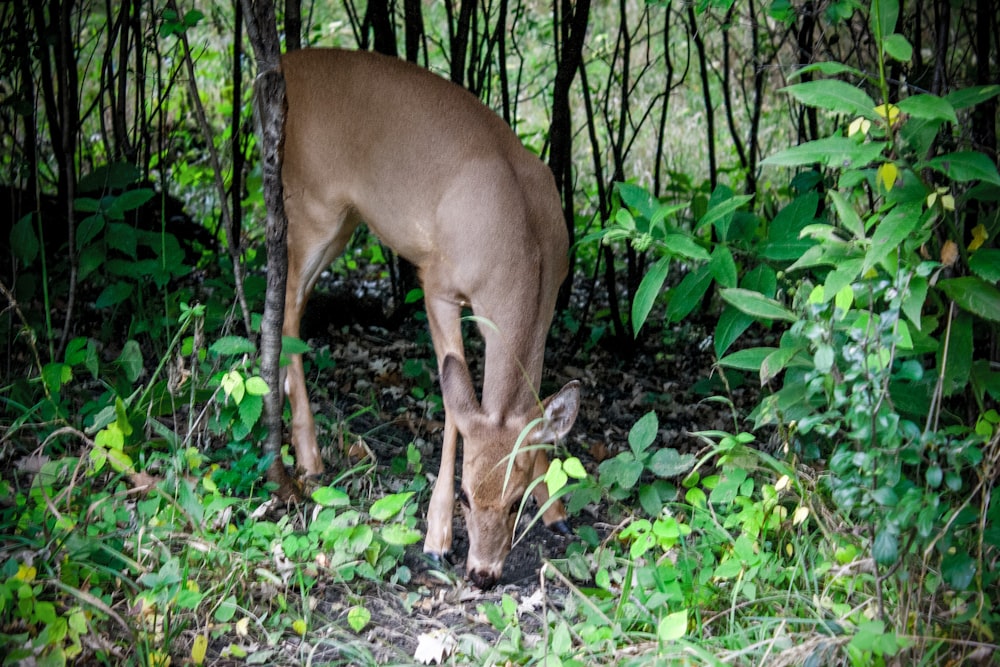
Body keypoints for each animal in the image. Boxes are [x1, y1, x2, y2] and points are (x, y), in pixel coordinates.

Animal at [278, 48, 584, 588]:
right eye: (465, 495)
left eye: (515, 502)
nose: (483, 572)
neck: (523, 245)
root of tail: (285, 60)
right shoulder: (437, 282)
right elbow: (453, 403)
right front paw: (436, 537)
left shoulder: (550, 302)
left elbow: (529, 408)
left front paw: (558, 511)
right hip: (310, 204)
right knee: (287, 312)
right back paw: (310, 459)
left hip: (343, 222)